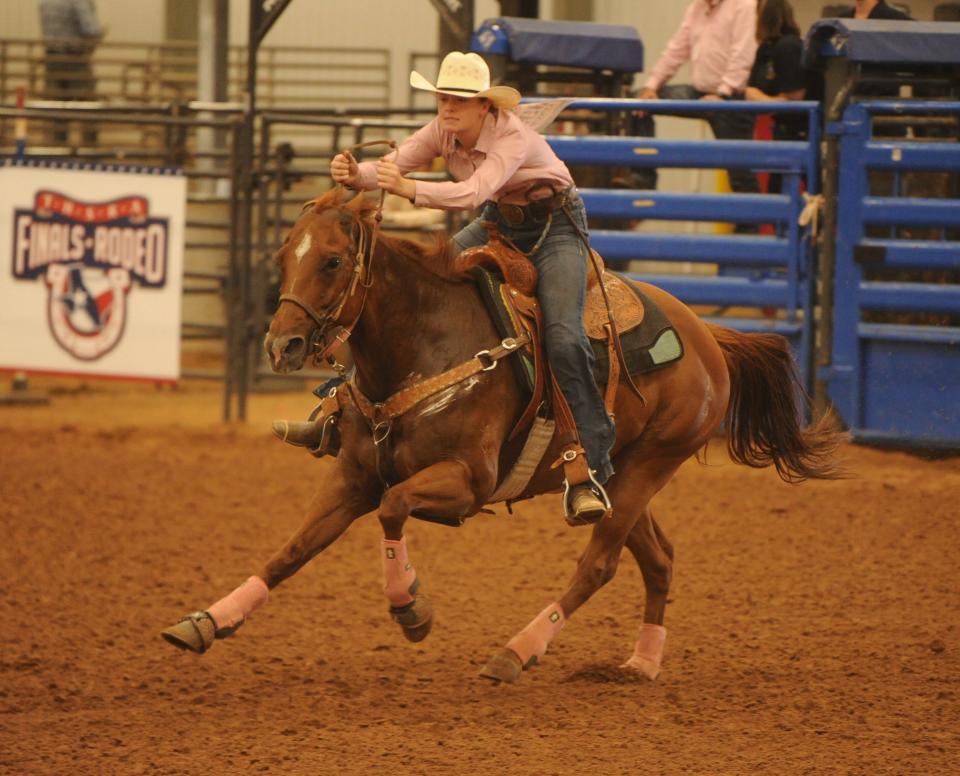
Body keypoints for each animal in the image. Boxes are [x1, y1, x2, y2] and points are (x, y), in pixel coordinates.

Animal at [161, 185, 844, 684]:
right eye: (283, 258)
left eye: (331, 261)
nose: (282, 346)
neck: (424, 342)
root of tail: (709, 335)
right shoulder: (352, 476)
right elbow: (293, 549)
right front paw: (208, 620)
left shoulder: (465, 482)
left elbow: (393, 508)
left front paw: (411, 608)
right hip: (621, 475)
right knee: (658, 557)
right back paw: (641, 662)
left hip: (654, 463)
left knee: (599, 565)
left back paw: (518, 651)